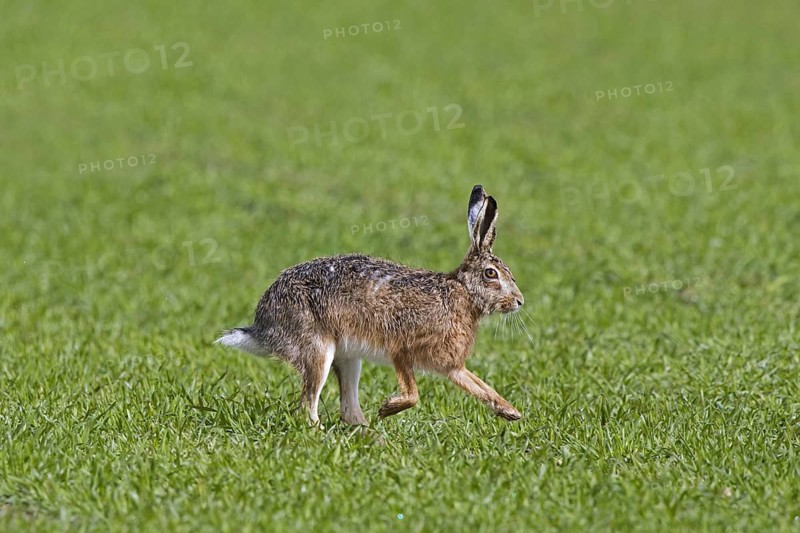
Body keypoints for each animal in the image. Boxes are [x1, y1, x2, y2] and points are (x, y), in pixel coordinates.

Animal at [216, 185, 525, 425]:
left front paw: (511, 412)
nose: (519, 301)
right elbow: (413, 394)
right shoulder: (402, 349)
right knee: (308, 407)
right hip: (317, 349)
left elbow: (480, 386)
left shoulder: (452, 366)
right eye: (491, 274)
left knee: (348, 411)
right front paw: (387, 409)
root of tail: (262, 326)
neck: (462, 293)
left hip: (348, 359)